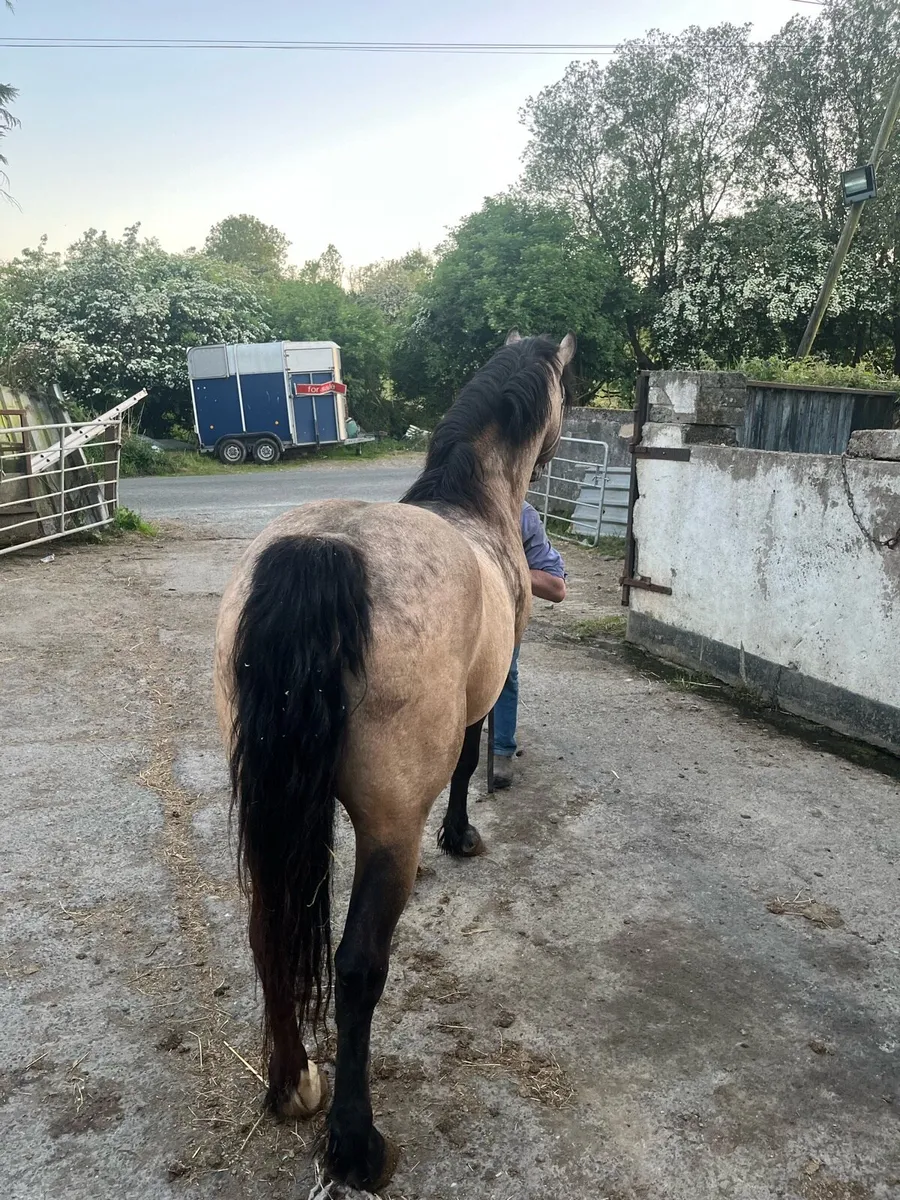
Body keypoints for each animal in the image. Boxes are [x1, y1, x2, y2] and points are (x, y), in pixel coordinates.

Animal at [213, 331, 575, 1191]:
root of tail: (322, 548)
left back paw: (291, 1087)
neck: (474, 508)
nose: (557, 453)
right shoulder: (483, 693)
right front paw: (462, 835)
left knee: (267, 928)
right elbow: (470, 761)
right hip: (385, 827)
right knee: (357, 968)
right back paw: (355, 1144)